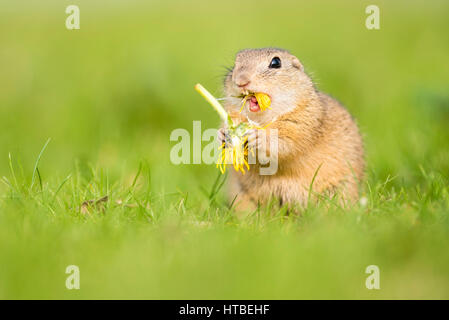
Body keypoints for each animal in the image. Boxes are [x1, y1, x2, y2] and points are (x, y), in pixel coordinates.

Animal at [218, 47, 364, 211]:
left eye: (276, 62)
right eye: (235, 62)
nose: (241, 81)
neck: (261, 119)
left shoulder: (301, 122)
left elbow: (285, 143)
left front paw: (258, 136)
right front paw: (223, 134)